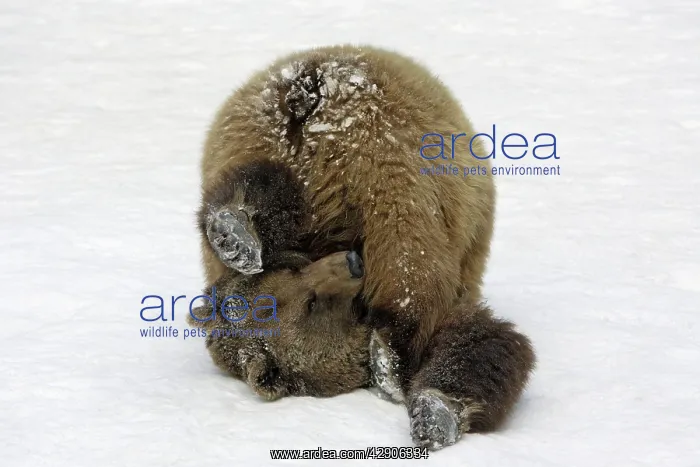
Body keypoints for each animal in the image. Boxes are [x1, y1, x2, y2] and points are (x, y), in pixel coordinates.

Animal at [196, 44, 497, 386]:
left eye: (310, 303)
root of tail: (309, 96)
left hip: (252, 139)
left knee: (259, 184)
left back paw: (233, 233)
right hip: (391, 163)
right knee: (410, 258)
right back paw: (391, 356)